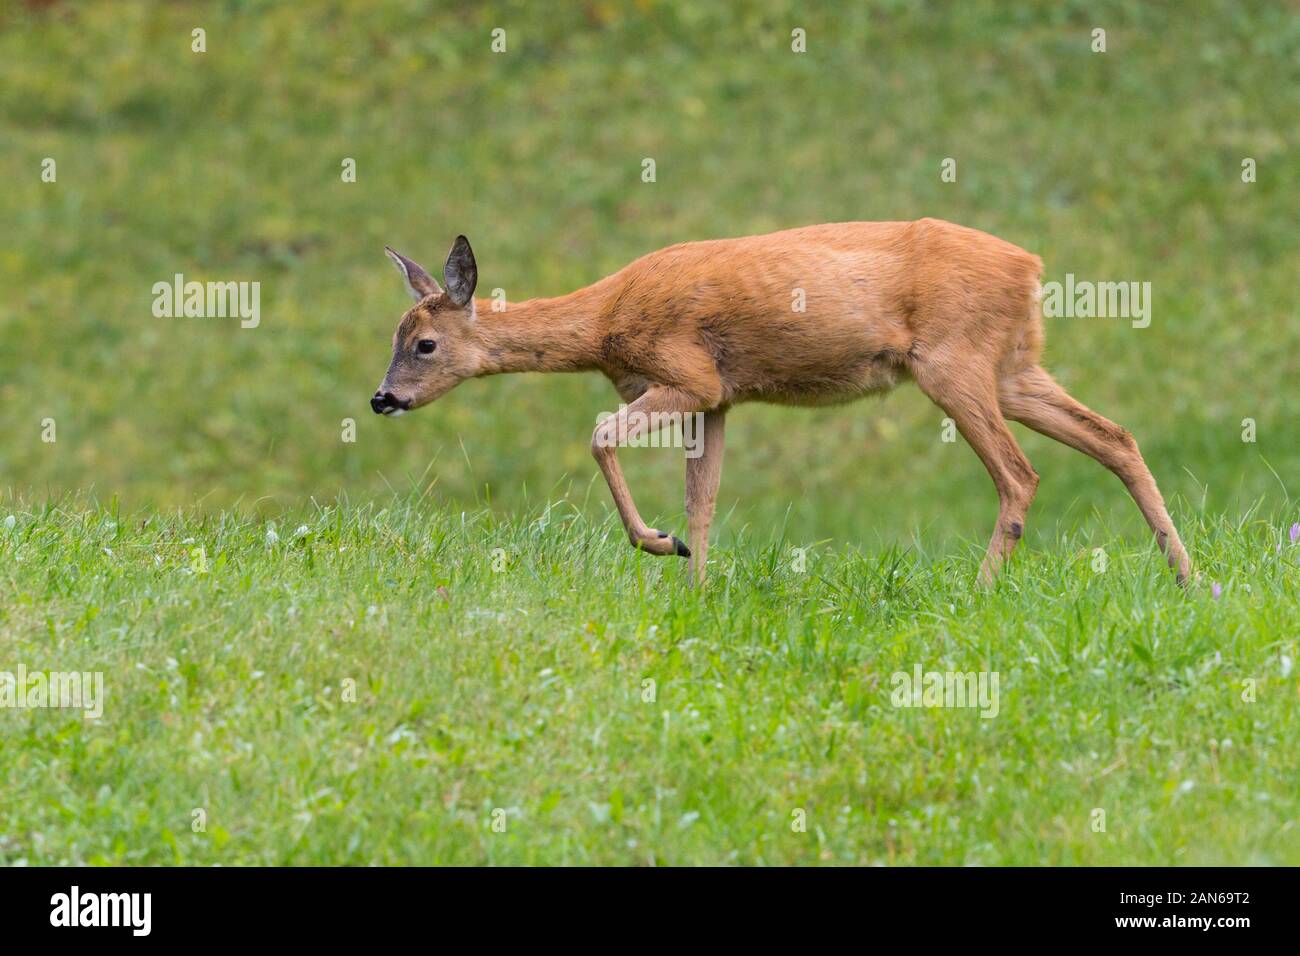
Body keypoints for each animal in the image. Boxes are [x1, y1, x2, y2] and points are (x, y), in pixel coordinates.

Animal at [371, 220, 1192, 588]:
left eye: (424, 344)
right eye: (396, 335)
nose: (381, 399)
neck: (606, 322)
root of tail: (1031, 266)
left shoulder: (690, 374)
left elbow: (600, 434)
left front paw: (661, 544)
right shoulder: (720, 400)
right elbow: (704, 496)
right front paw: (695, 577)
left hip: (953, 362)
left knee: (1020, 474)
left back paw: (980, 588)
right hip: (1015, 365)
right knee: (1115, 436)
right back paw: (1186, 574)